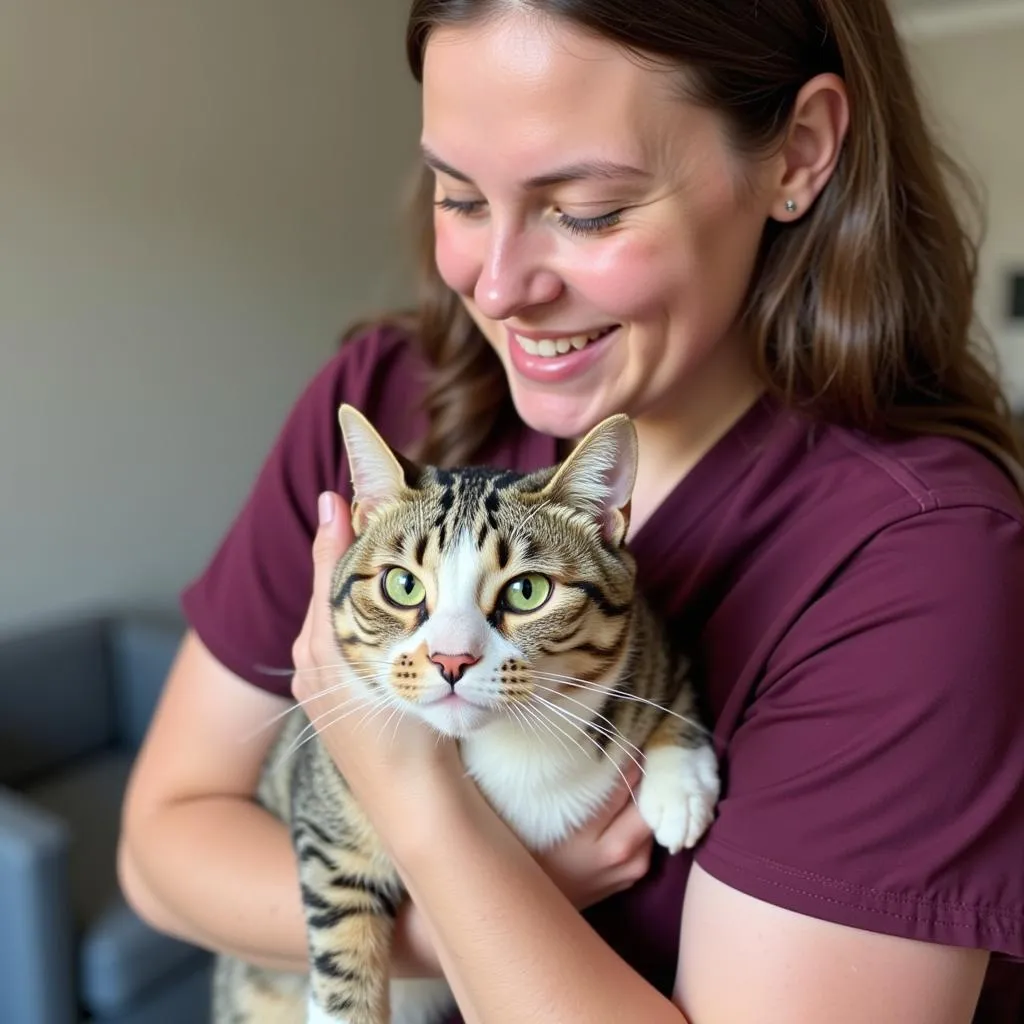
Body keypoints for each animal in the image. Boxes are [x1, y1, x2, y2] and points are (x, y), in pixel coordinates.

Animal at [210, 405, 716, 1024]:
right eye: (402, 585)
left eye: (528, 591)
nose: (451, 659)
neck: (513, 743)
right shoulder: (331, 824)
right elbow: (342, 926)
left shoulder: (654, 640)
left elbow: (671, 685)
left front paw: (680, 786)